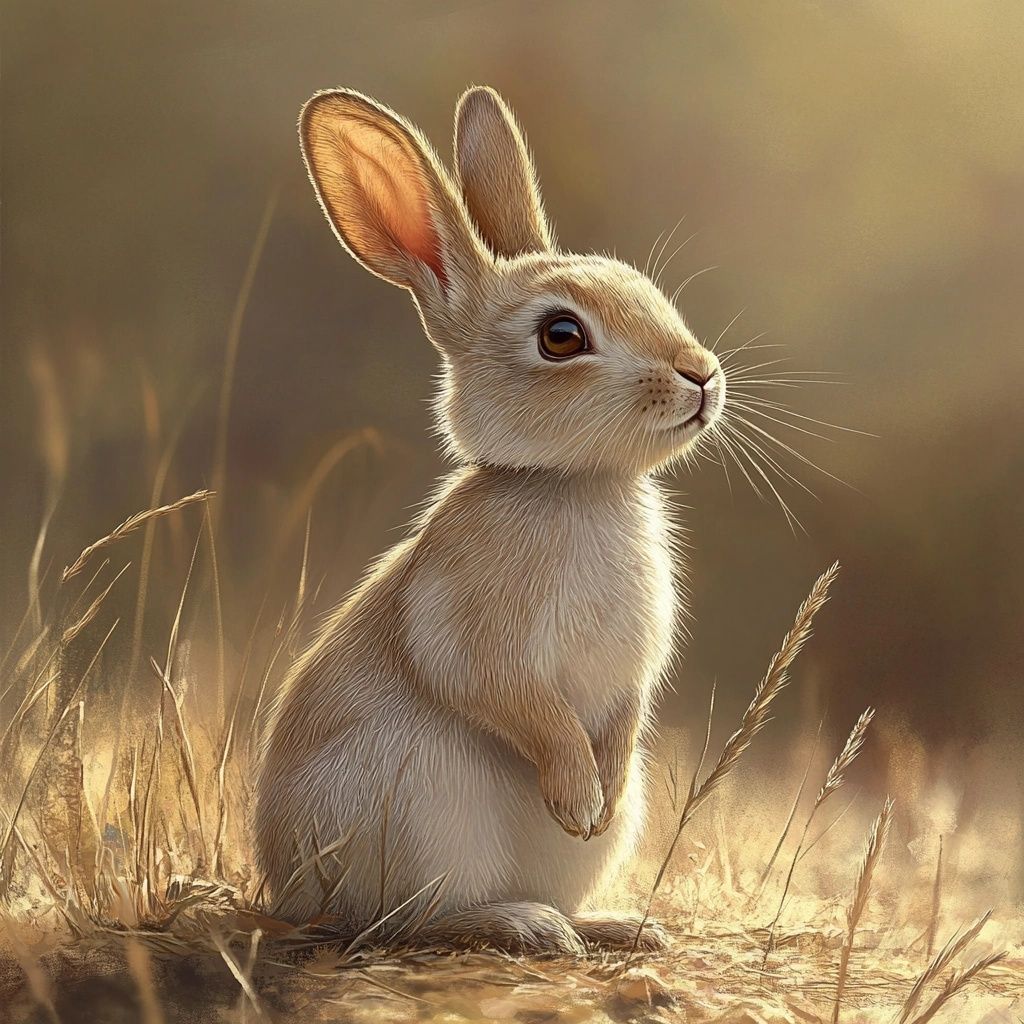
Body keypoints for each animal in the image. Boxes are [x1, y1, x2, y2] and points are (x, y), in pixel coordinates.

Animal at [253, 85, 726, 954]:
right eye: (560, 336)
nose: (701, 375)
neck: (575, 485)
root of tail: (290, 892)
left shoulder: (633, 672)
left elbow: (624, 714)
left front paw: (598, 796)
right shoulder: (469, 624)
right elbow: (510, 697)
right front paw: (576, 796)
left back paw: (616, 927)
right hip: (416, 807)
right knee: (406, 921)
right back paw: (522, 925)